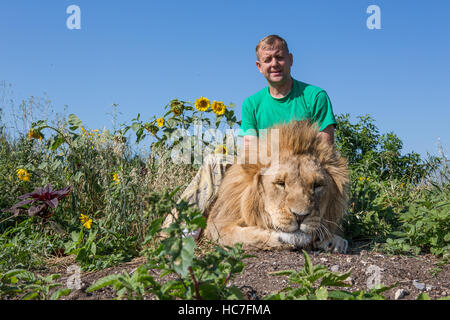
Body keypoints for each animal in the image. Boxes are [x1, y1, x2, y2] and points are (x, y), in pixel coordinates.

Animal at [202, 120, 350, 252]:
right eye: (281, 183)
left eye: (317, 185)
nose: (300, 216)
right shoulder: (217, 224)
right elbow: (242, 236)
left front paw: (333, 241)